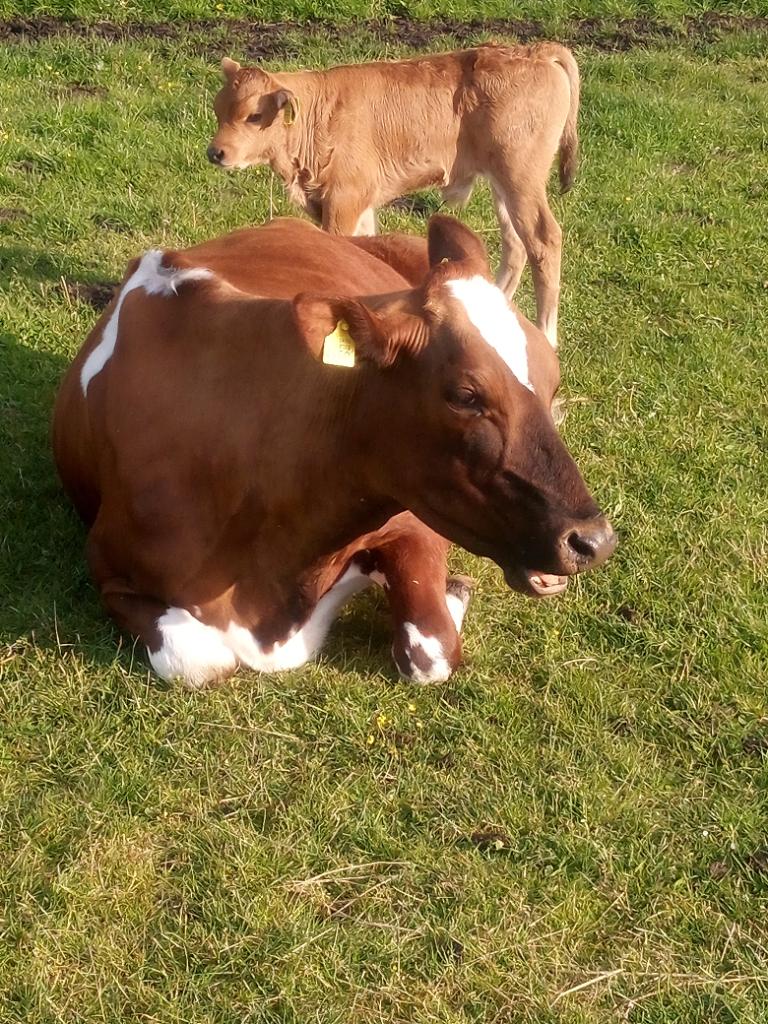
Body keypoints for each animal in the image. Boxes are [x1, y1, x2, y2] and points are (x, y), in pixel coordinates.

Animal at [52, 215, 615, 689]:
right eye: (465, 396)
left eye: (551, 378)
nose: (593, 540)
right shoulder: (109, 569)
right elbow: (199, 659)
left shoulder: (412, 517)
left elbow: (430, 649)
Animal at [207, 43, 580, 349]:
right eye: (218, 108)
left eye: (254, 116)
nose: (216, 152)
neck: (317, 117)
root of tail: (534, 51)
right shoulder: (359, 206)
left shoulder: (343, 202)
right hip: (503, 184)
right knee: (516, 243)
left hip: (521, 178)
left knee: (544, 240)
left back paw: (545, 335)